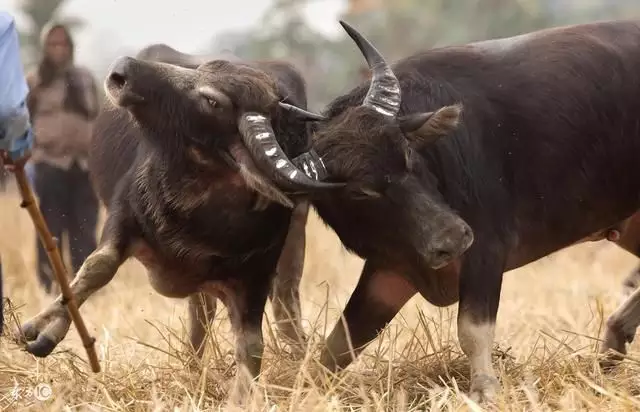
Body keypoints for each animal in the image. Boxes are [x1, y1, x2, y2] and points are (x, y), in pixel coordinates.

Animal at [12, 43, 342, 394]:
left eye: (213, 101)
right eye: (203, 71)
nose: (122, 69)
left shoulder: (258, 270)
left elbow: (252, 344)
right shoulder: (123, 213)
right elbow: (96, 268)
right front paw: (38, 331)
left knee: (279, 298)